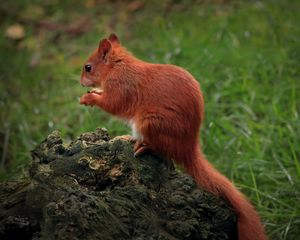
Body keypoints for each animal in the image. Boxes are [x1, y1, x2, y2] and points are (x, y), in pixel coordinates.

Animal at [79, 32, 268, 239]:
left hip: (151, 123)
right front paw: (95, 91)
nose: (81, 82)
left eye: (88, 67)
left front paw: (90, 97)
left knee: (162, 149)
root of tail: (188, 148)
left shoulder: (122, 87)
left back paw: (144, 146)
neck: (118, 66)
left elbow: (113, 104)